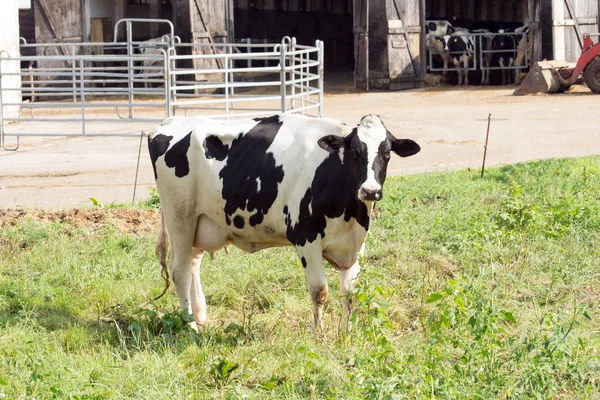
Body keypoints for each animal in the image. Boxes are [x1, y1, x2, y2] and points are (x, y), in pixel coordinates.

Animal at [149, 113, 422, 332]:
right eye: (355, 153)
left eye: (387, 154)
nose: (370, 190)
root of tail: (172, 121)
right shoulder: (305, 237)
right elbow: (319, 290)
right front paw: (318, 335)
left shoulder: (355, 244)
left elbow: (351, 293)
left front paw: (348, 334)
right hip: (180, 217)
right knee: (180, 271)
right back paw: (190, 327)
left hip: (201, 223)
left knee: (193, 263)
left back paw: (200, 317)